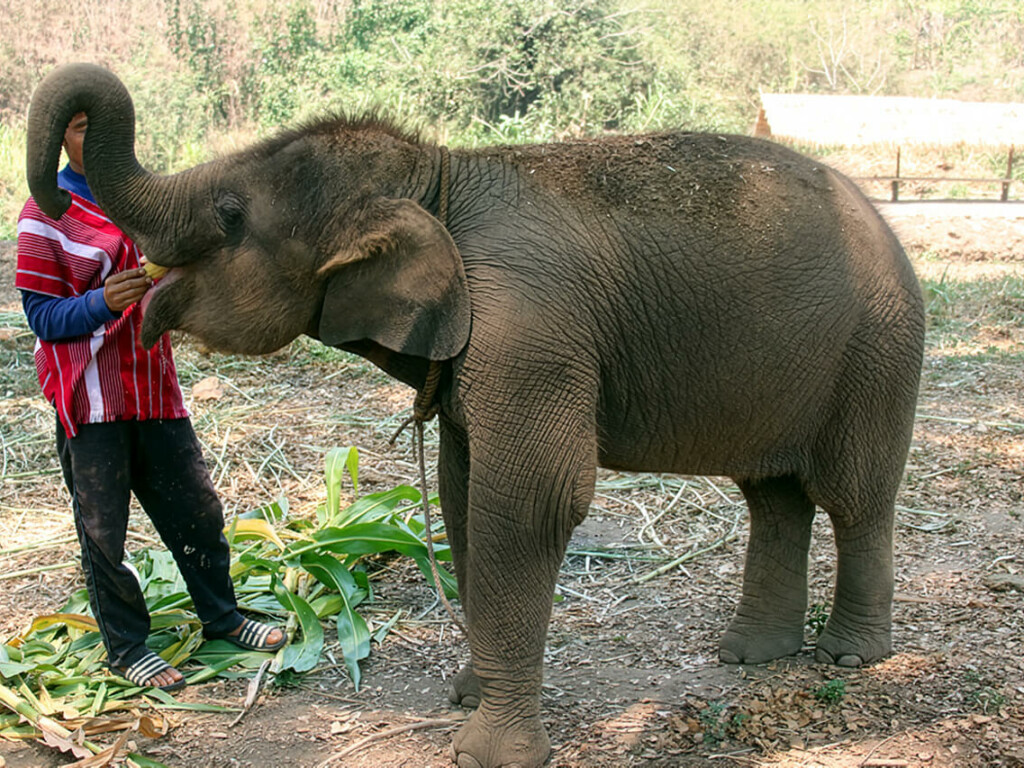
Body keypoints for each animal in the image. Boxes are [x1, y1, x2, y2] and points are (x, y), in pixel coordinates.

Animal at [28, 63, 925, 768]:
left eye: (230, 216)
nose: (58, 183)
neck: (441, 179)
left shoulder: (527, 330)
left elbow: (532, 500)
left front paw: (485, 751)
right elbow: (463, 494)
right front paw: (469, 695)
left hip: (879, 350)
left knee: (853, 496)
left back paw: (849, 656)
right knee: (773, 494)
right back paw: (750, 656)